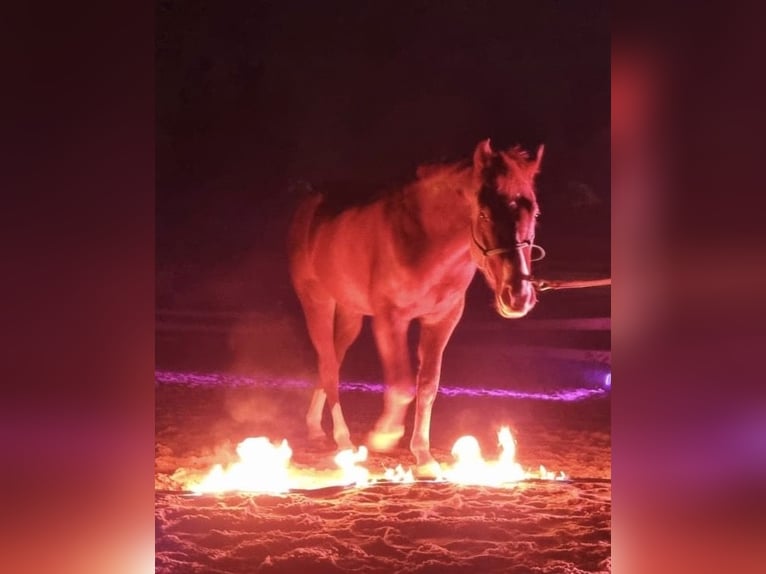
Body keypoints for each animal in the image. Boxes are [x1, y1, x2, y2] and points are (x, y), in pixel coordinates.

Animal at [287, 139, 545, 471]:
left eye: (534, 214)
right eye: (484, 214)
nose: (518, 296)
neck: (424, 240)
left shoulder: (442, 320)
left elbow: (428, 386)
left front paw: (423, 456)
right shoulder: (390, 320)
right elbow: (402, 385)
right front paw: (384, 434)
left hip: (350, 314)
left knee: (331, 360)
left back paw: (315, 428)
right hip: (317, 303)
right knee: (329, 367)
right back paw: (343, 440)